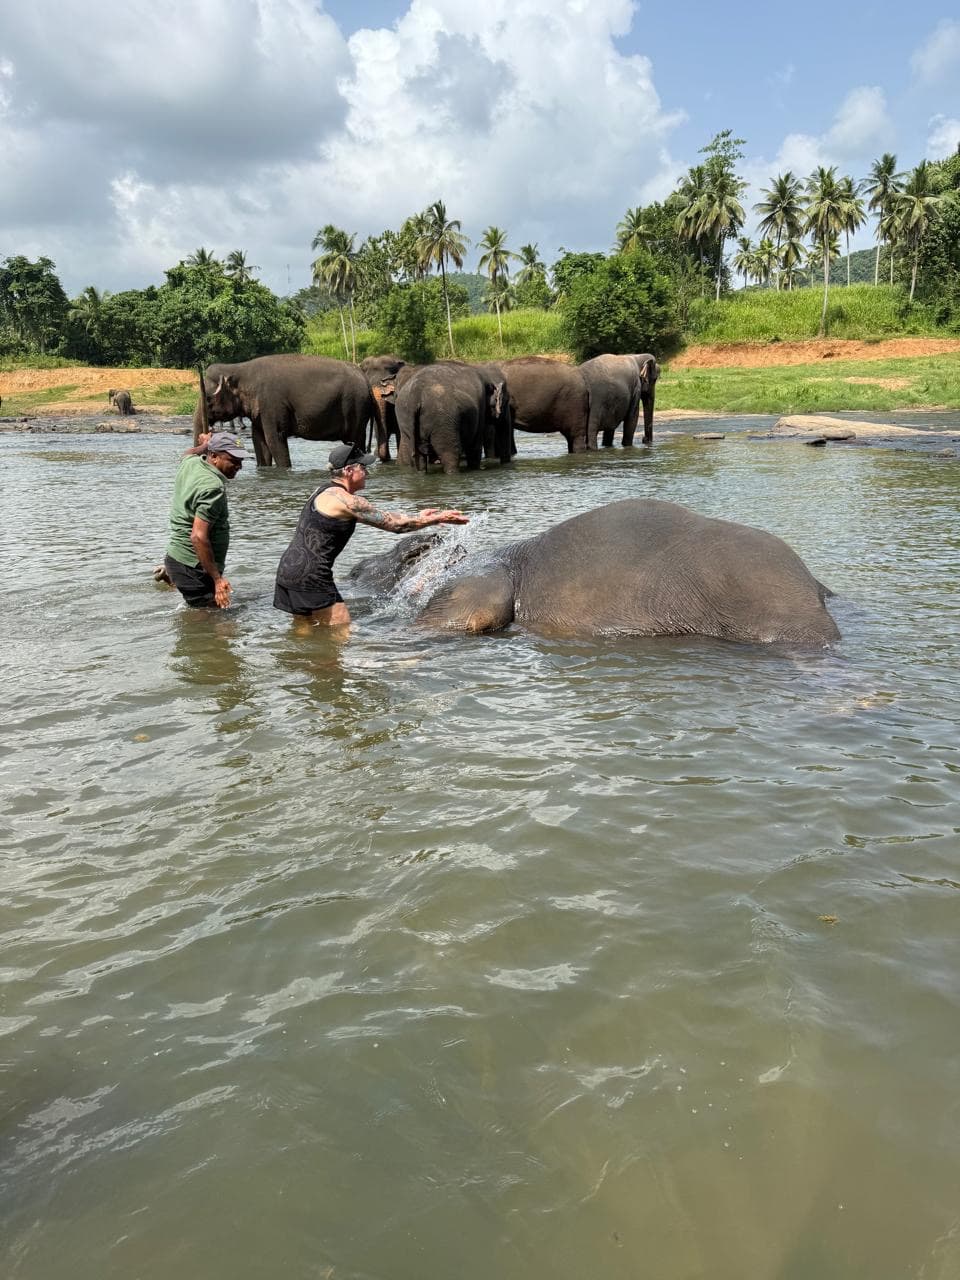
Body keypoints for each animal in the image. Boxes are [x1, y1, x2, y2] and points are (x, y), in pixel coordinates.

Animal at [194, 355, 372, 468]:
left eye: (208, 400)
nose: (204, 456)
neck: (240, 368)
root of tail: (365, 378)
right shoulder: (260, 412)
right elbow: (259, 441)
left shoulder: (271, 404)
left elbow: (274, 439)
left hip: (355, 407)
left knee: (355, 441)